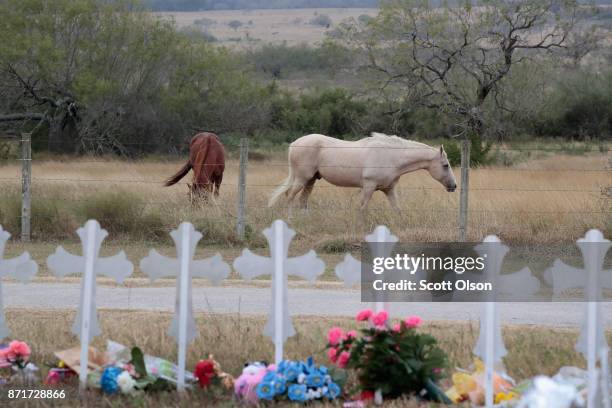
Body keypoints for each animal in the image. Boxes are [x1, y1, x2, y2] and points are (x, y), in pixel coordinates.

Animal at [270, 133, 456, 210]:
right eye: (446, 165)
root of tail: (294, 144)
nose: (453, 186)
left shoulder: (389, 189)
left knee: (302, 200)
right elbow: (362, 208)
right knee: (290, 196)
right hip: (302, 179)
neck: (392, 156)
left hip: (311, 180)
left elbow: (397, 209)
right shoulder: (369, 186)